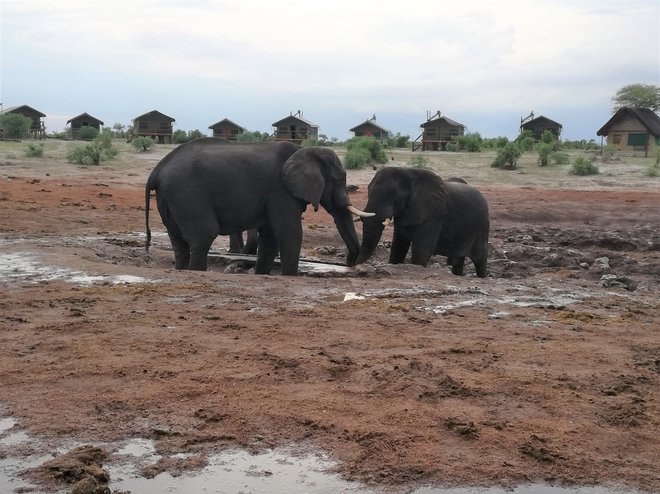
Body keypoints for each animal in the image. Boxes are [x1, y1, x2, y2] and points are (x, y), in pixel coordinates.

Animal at [145, 140, 372, 274]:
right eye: (339, 179)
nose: (351, 263)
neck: (305, 151)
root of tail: (157, 169)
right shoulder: (281, 190)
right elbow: (289, 232)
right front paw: (290, 276)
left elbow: (270, 236)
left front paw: (262, 273)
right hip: (187, 192)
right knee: (203, 237)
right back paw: (196, 271)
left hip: (170, 197)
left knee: (179, 242)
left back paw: (181, 270)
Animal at [356, 168, 490, 278]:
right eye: (368, 190)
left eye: (394, 196)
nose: (356, 267)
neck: (408, 173)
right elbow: (398, 246)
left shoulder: (433, 215)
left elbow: (421, 252)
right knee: (458, 260)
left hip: (483, 226)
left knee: (480, 259)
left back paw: (482, 277)